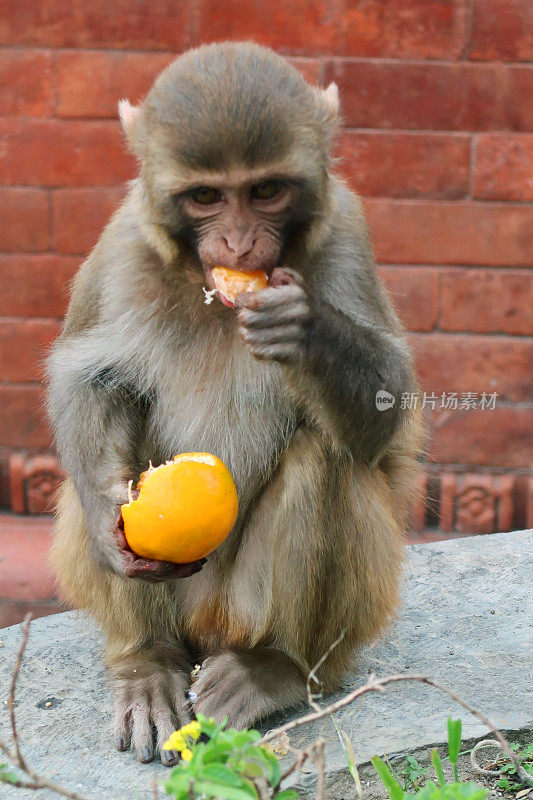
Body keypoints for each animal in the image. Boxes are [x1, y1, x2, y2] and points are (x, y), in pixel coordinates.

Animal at [47, 40, 424, 764]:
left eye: (266, 191)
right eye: (205, 196)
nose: (242, 245)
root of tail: (209, 625)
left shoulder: (346, 232)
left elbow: (385, 413)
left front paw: (306, 331)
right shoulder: (123, 246)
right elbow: (89, 379)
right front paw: (109, 516)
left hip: (252, 610)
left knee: (325, 456)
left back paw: (275, 669)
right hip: (177, 589)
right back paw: (148, 662)